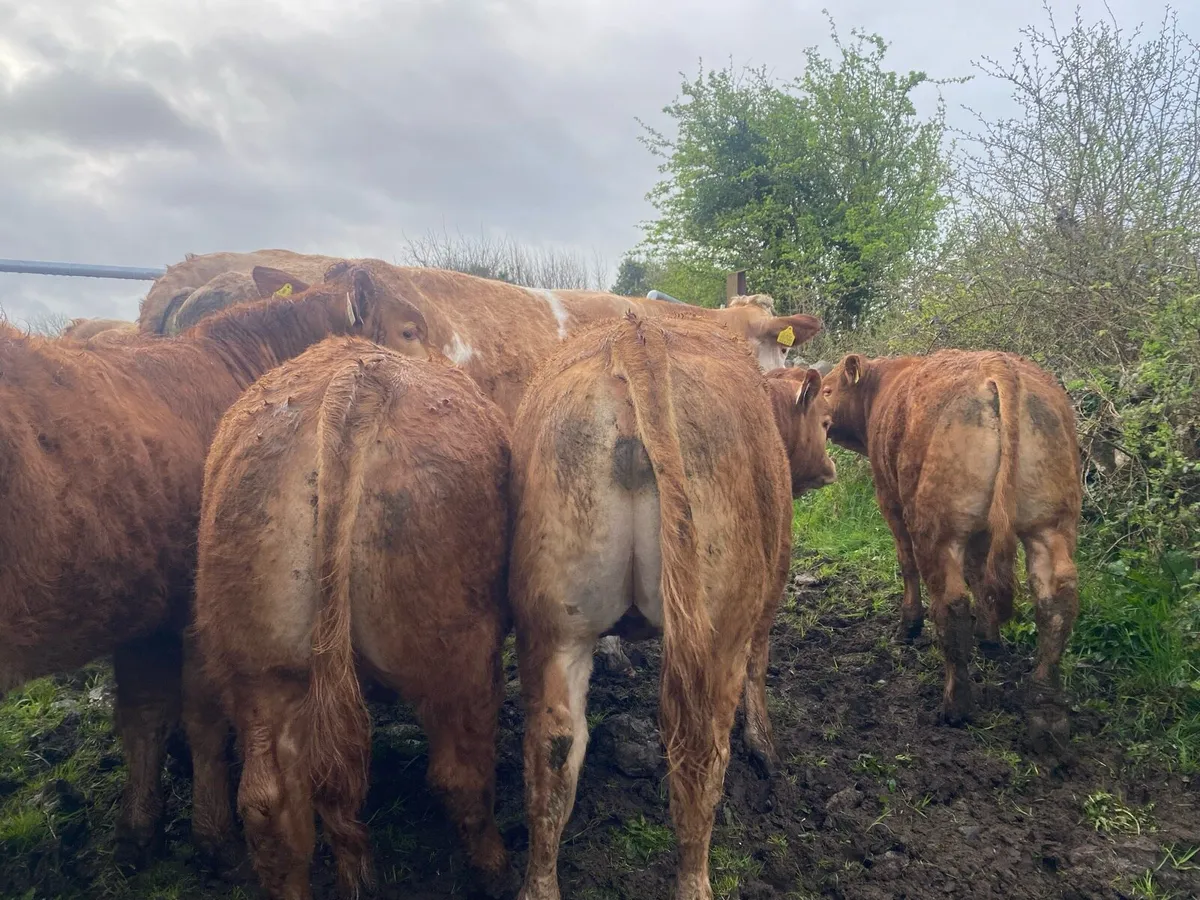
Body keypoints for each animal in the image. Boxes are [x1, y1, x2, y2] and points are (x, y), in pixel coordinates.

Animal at [0, 263, 438, 870]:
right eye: (408, 329)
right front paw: (215, 837)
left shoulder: (149, 615)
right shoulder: (198, 612)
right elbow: (201, 716)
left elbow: (143, 715)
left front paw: (138, 834)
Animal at [188, 338, 514, 900]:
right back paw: (495, 870)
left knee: (270, 808)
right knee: (461, 774)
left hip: (263, 670)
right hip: (461, 654)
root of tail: (356, 382)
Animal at [507, 312, 836, 900]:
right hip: (717, 633)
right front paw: (766, 748)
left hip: (553, 628)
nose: (833, 467)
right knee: (701, 755)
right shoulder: (769, 592)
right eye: (825, 421)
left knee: (553, 749)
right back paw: (695, 881)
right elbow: (760, 666)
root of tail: (636, 337)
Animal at [821, 349, 1083, 752]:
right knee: (1055, 602)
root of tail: (998, 365)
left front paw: (907, 627)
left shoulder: (890, 499)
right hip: (1050, 524)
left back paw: (955, 704)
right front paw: (990, 638)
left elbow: (907, 563)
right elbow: (979, 573)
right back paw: (1047, 715)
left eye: (828, 389)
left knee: (951, 603)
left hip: (937, 529)